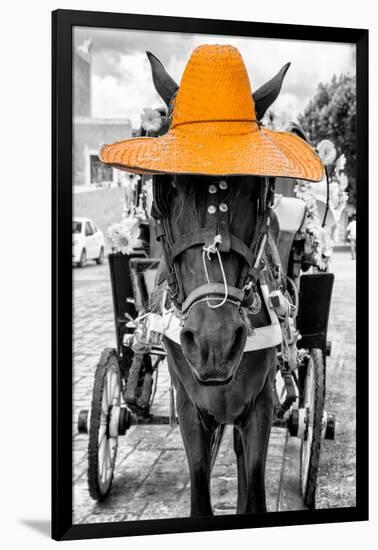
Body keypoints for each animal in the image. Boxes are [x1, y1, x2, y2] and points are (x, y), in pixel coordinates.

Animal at [145, 50, 290, 516]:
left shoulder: (260, 405)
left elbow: (254, 489)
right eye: (166, 187)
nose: (215, 342)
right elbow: (200, 490)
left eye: (258, 189)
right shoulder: (191, 409)